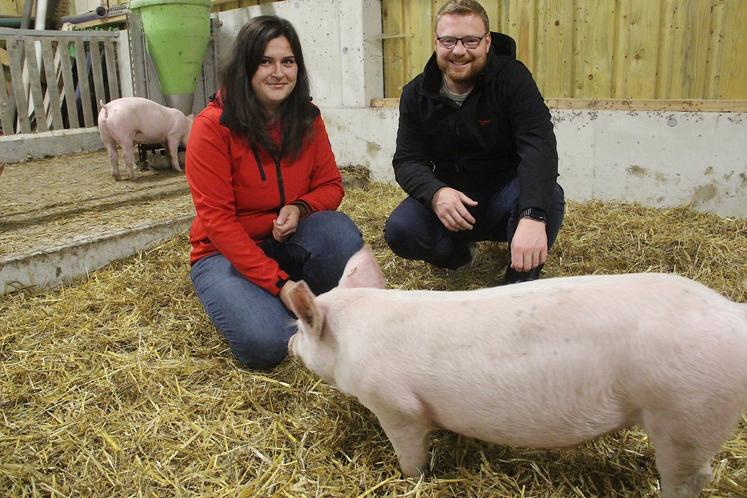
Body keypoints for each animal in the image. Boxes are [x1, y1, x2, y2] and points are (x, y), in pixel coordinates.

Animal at [290, 246, 747, 498]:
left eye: (300, 327)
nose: (289, 344)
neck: (353, 335)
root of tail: (733, 314)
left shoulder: (395, 405)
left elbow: (411, 455)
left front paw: (411, 479)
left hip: (687, 417)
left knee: (691, 477)